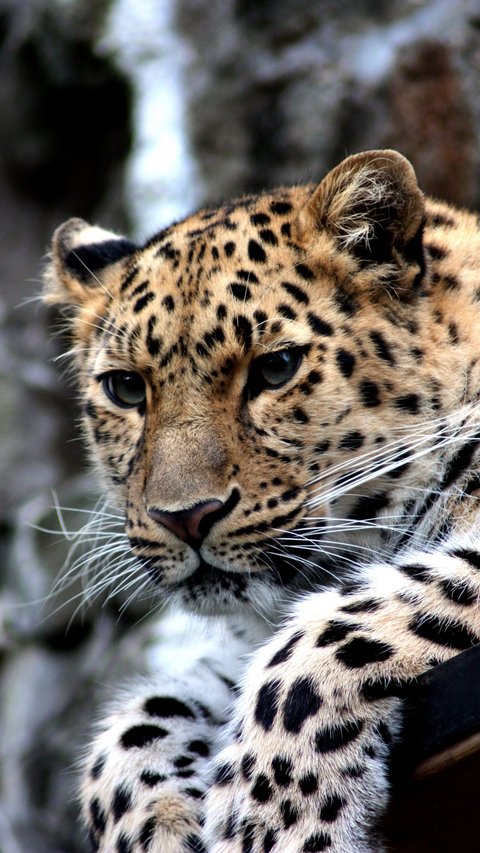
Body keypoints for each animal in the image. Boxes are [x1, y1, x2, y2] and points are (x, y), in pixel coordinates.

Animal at [42, 148, 480, 852]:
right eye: (126, 388)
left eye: (276, 369)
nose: (183, 517)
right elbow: (137, 722)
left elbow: (323, 638)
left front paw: (275, 824)